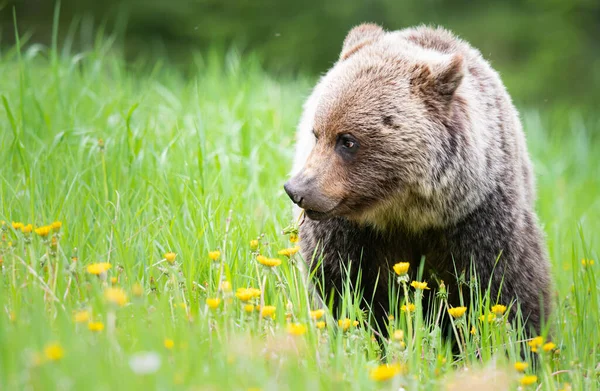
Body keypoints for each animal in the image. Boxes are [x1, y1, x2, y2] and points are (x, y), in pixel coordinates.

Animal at [286, 23, 552, 336]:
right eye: (317, 133)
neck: (409, 213)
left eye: (348, 141)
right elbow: (348, 287)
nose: (297, 189)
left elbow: (507, 287)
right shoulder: (349, 233)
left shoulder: (480, 217)